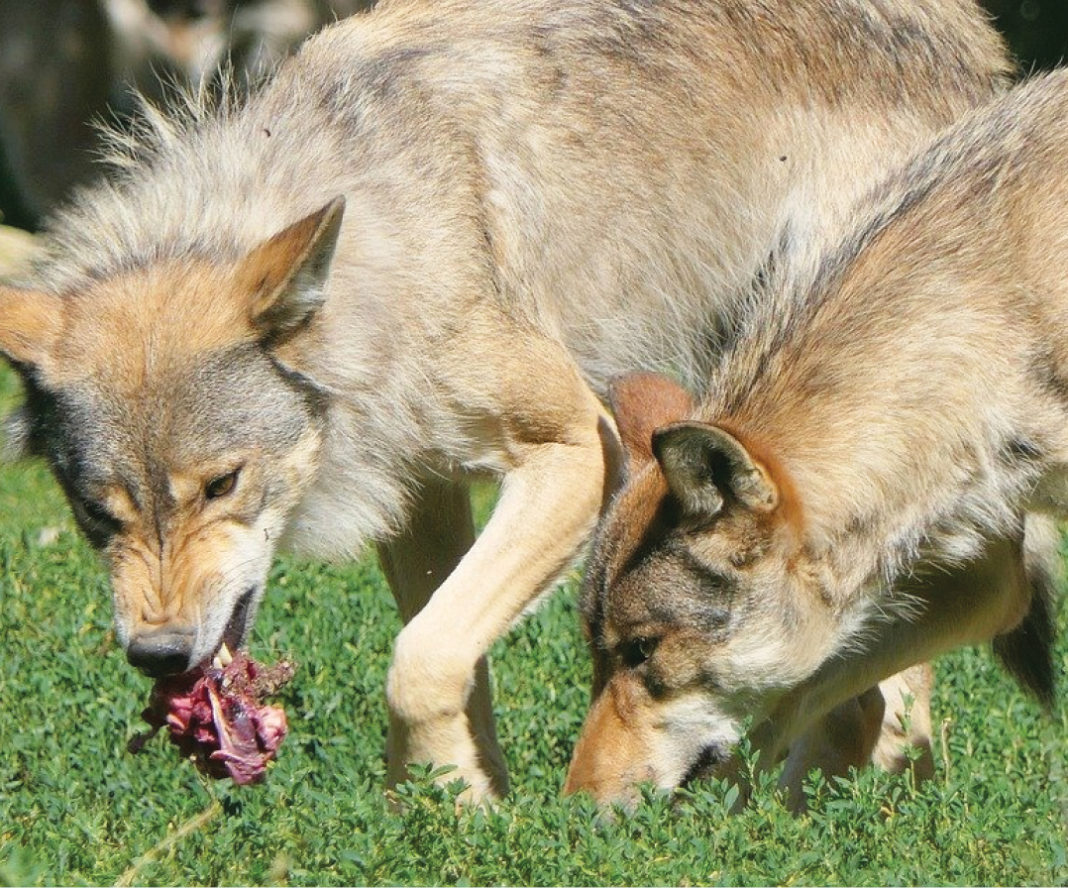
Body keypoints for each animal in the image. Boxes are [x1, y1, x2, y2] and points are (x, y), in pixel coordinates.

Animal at [0, 0, 1012, 799]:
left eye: (221, 485)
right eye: (97, 515)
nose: (159, 656)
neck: (382, 245)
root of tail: (972, 39)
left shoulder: (576, 448)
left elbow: (418, 659)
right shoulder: (419, 495)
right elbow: (448, 660)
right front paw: (455, 814)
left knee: (871, 700)